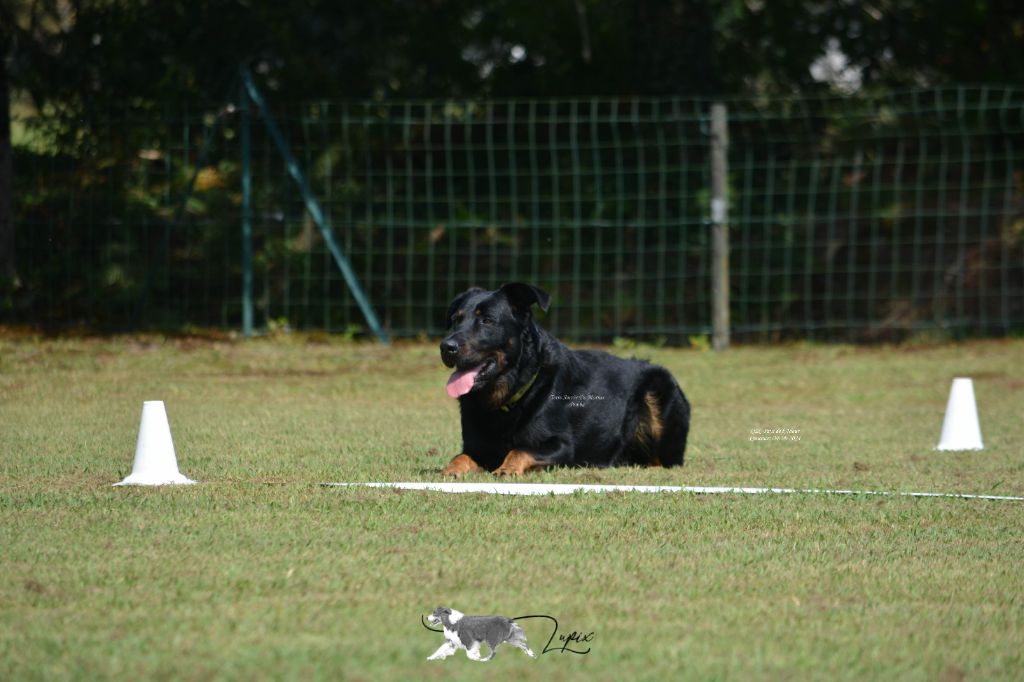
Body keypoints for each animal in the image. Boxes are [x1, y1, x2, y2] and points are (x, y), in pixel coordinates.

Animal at [438, 280, 688, 473]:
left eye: (487, 320)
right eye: (456, 320)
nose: (446, 347)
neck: (513, 395)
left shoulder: (562, 445)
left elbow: (519, 450)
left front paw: (507, 468)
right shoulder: (477, 448)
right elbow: (459, 457)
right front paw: (449, 470)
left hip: (658, 387)